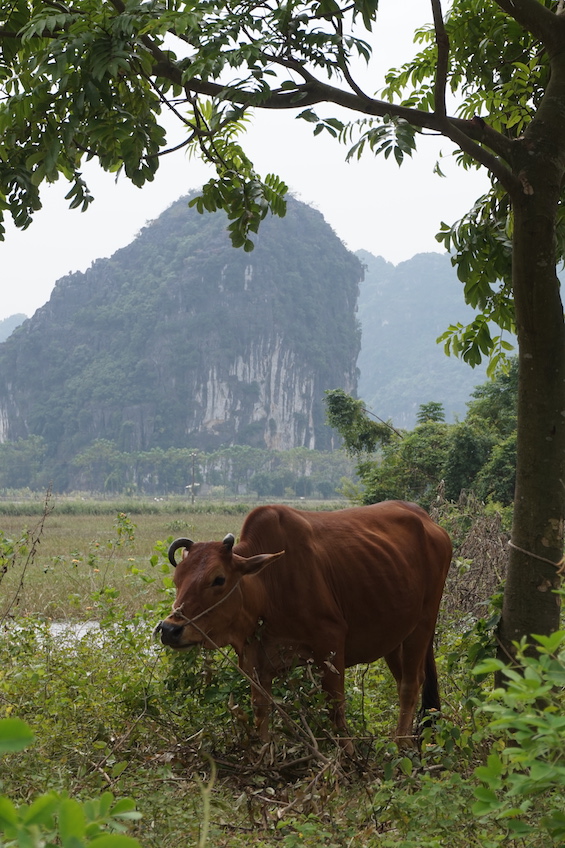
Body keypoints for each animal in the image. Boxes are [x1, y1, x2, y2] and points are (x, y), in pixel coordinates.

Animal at [154, 504, 450, 748]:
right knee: (407, 681)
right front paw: (264, 757)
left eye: (218, 579)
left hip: (424, 622)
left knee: (410, 684)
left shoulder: (330, 646)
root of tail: (428, 522)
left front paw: (348, 757)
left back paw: (401, 746)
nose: (170, 630)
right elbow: (261, 710)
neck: (268, 586)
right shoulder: (255, 659)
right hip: (394, 634)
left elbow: (336, 709)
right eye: (178, 579)